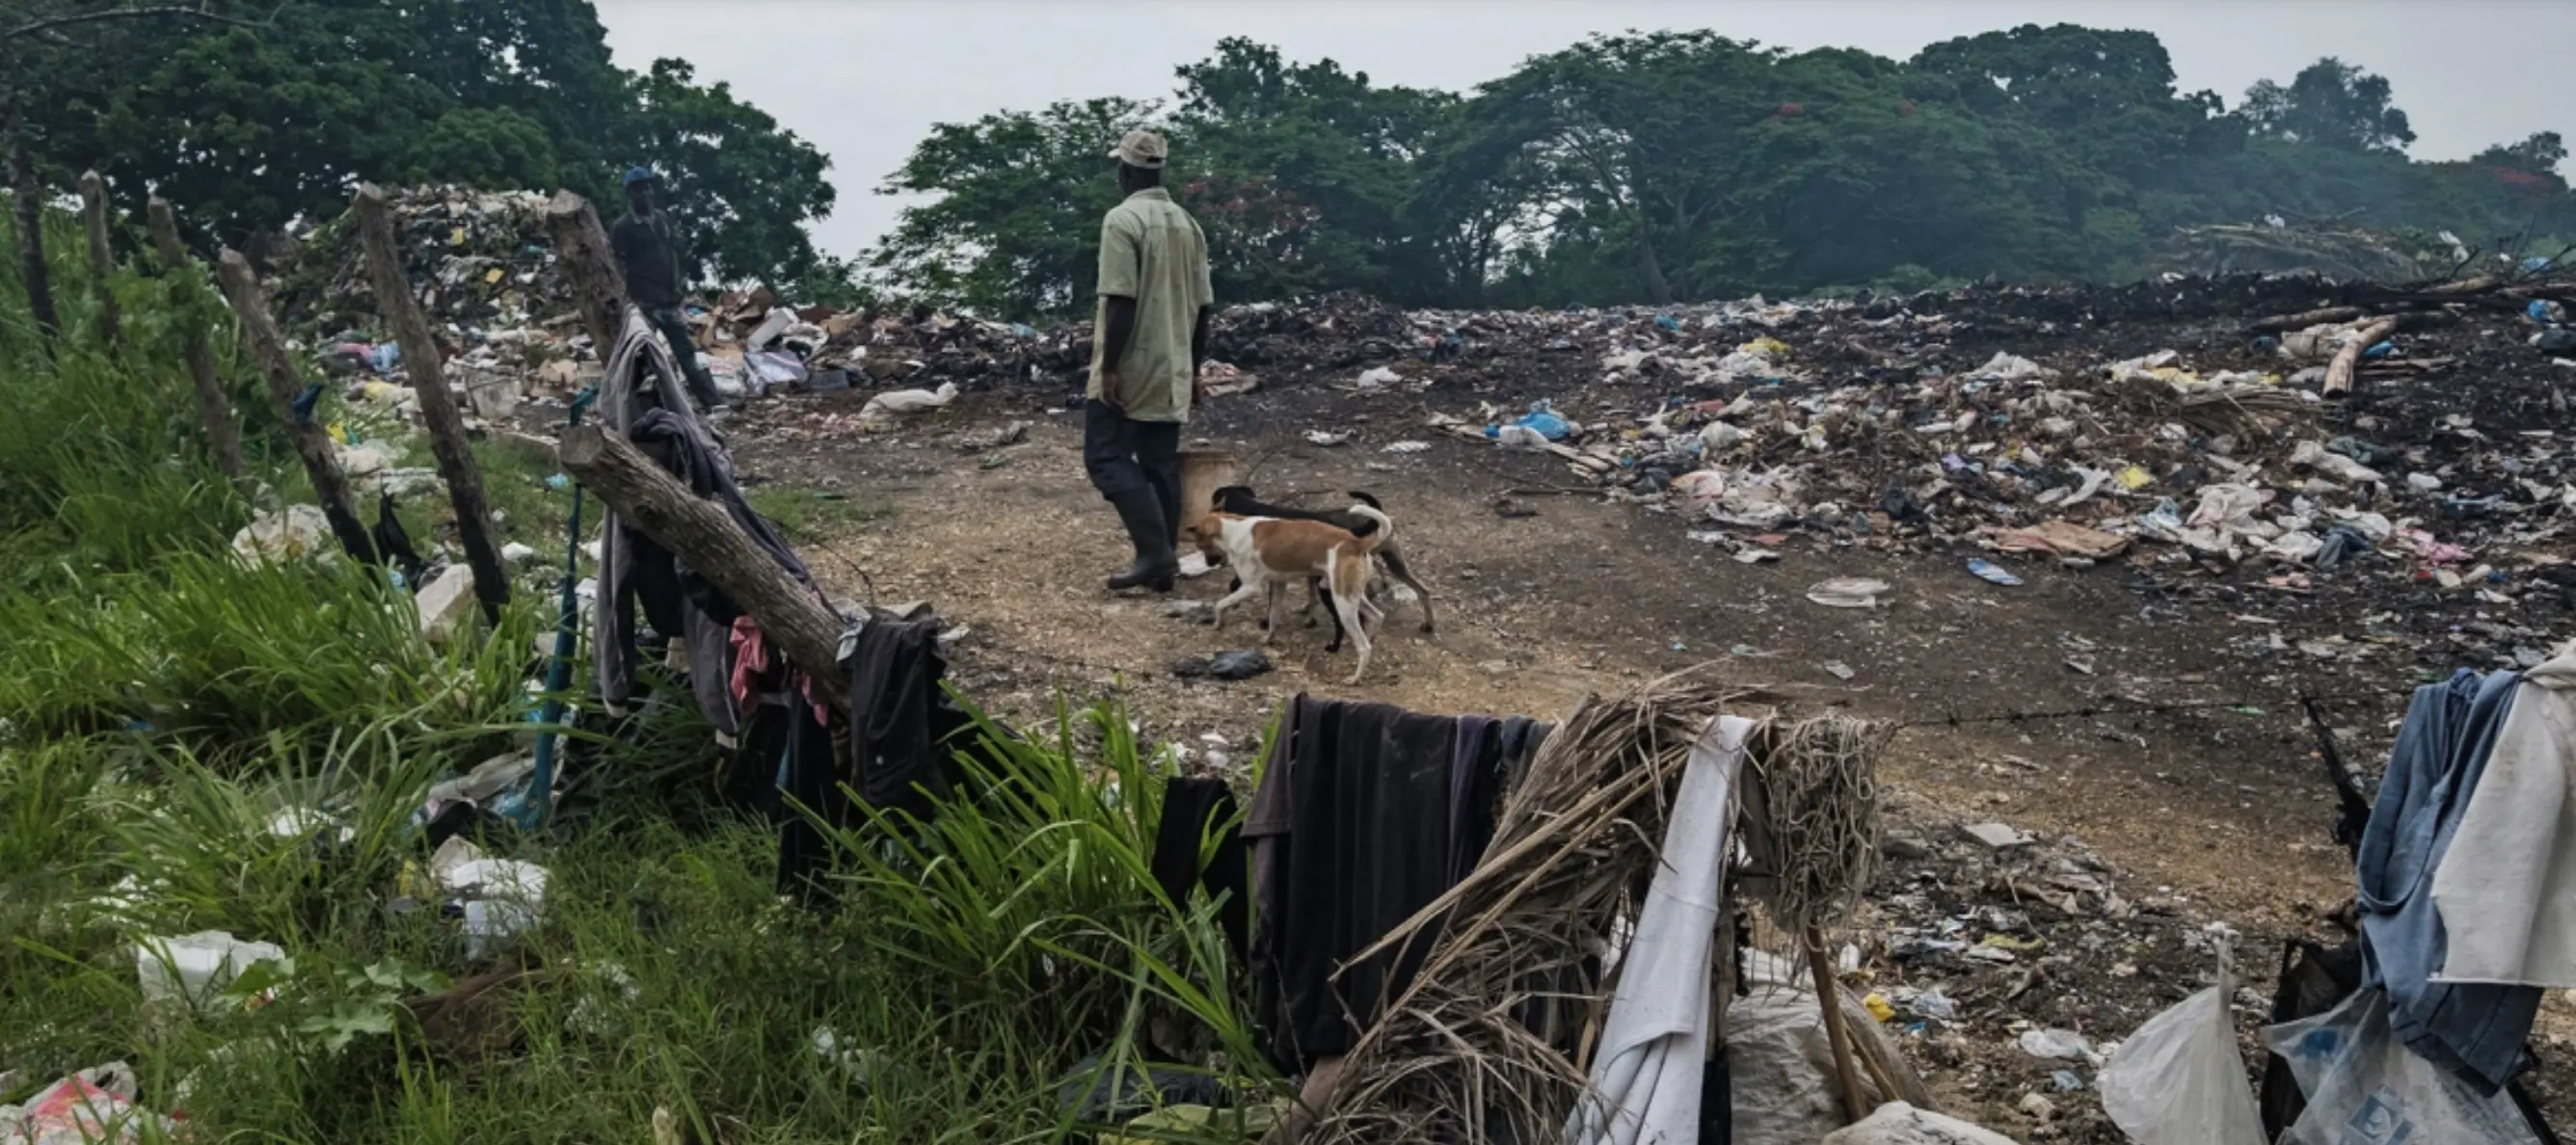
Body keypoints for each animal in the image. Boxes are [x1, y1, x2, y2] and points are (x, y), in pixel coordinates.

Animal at [1200, 504, 1401, 684]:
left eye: (1199, 541)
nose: (1209, 563)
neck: (1234, 529)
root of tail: (1356, 542)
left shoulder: (1252, 587)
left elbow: (1220, 603)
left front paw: (1217, 623)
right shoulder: (1279, 584)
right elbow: (1273, 617)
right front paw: (1268, 639)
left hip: (1343, 605)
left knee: (1364, 646)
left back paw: (1354, 678)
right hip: (1351, 596)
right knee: (1377, 616)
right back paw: (1372, 638)